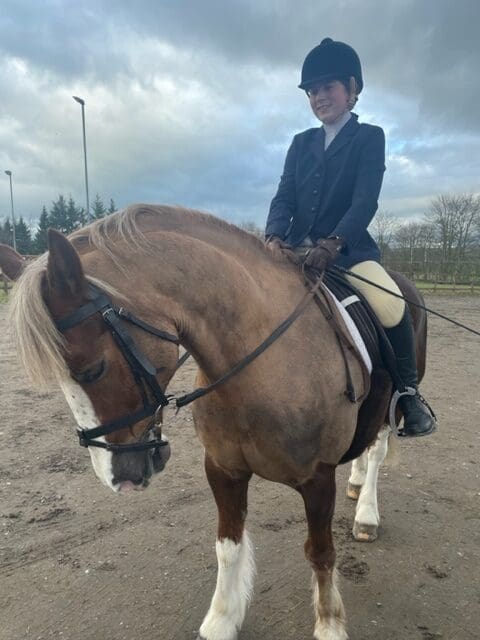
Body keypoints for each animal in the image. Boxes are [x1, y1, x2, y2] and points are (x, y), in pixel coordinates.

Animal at [1, 206, 426, 640]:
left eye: (94, 369)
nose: (117, 476)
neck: (258, 368)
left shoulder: (318, 478)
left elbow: (321, 551)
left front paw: (329, 624)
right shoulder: (223, 468)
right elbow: (228, 546)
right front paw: (222, 619)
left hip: (391, 407)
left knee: (376, 451)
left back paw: (367, 513)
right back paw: (356, 484)